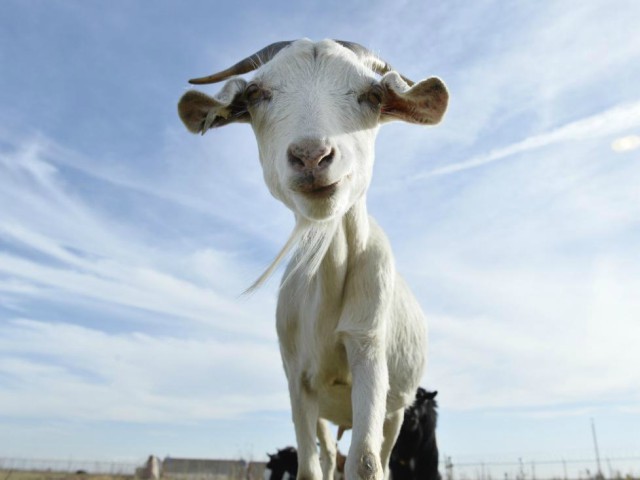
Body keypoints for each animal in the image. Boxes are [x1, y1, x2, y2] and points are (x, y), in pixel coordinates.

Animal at [178, 38, 448, 480]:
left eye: (373, 95)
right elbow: (308, 468)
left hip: (396, 410)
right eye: (256, 93)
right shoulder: (297, 379)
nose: (311, 155)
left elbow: (367, 463)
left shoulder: (368, 346)